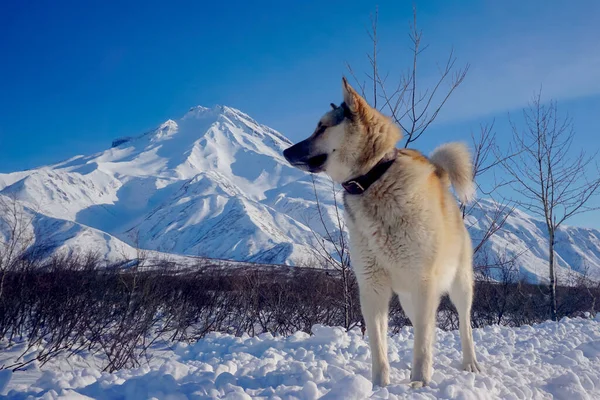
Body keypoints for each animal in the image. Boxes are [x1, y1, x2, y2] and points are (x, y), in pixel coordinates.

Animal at [282, 77, 482, 388]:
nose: (285, 151)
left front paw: (419, 384)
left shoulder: (424, 283)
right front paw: (380, 386)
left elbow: (422, 344)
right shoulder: (371, 287)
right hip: (409, 299)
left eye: (322, 127)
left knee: (463, 325)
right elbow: (378, 345)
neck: (373, 179)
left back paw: (469, 363)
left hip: (457, 285)